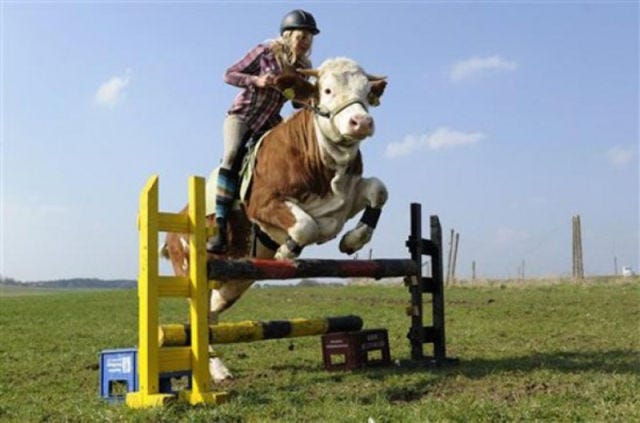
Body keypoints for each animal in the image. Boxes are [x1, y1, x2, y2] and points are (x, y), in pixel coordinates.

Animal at [162, 57, 388, 381]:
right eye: (327, 89)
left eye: (366, 91)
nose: (361, 122)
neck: (320, 160)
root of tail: (176, 225)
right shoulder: (263, 204)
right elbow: (305, 226)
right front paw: (285, 250)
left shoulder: (342, 200)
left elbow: (378, 190)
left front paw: (352, 241)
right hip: (193, 272)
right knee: (199, 317)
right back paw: (216, 371)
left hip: (236, 279)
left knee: (212, 314)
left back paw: (217, 367)